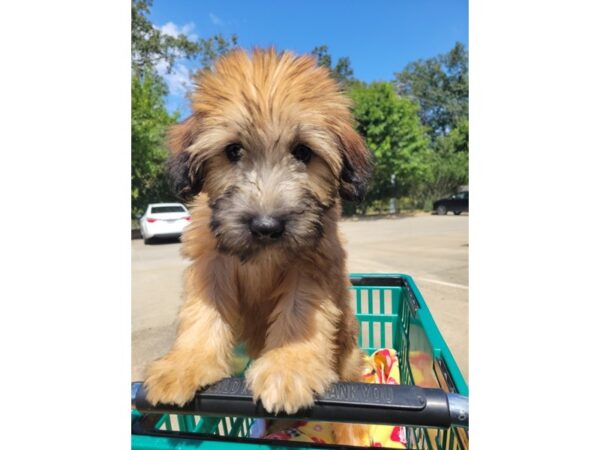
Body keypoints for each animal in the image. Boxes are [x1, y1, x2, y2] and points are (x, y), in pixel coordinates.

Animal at [144, 48, 370, 442]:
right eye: (233, 150)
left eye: (303, 152)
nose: (266, 226)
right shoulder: (210, 263)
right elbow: (202, 314)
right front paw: (185, 364)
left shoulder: (312, 263)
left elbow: (299, 311)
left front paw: (288, 367)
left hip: (349, 358)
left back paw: (350, 431)